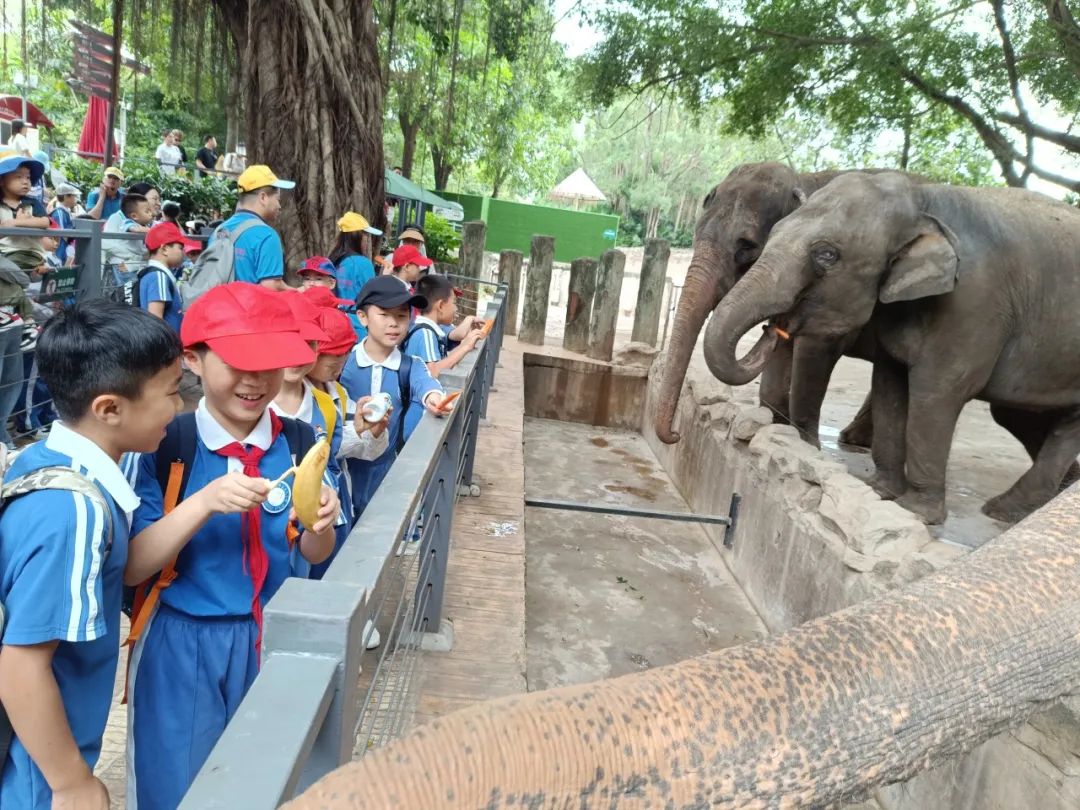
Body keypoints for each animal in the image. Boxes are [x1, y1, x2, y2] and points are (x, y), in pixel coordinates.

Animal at [652, 158, 889, 451]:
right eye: (696, 236)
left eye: (747, 246)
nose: (676, 435)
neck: (805, 179)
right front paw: (779, 429)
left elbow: (815, 351)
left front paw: (808, 446)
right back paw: (854, 439)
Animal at [704, 171, 1080, 527]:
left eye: (827, 255)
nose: (773, 329)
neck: (923, 204)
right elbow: (890, 384)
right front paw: (879, 492)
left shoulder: (974, 305)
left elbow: (937, 391)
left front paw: (916, 512)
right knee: (1031, 417)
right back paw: (1019, 507)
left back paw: (1006, 510)